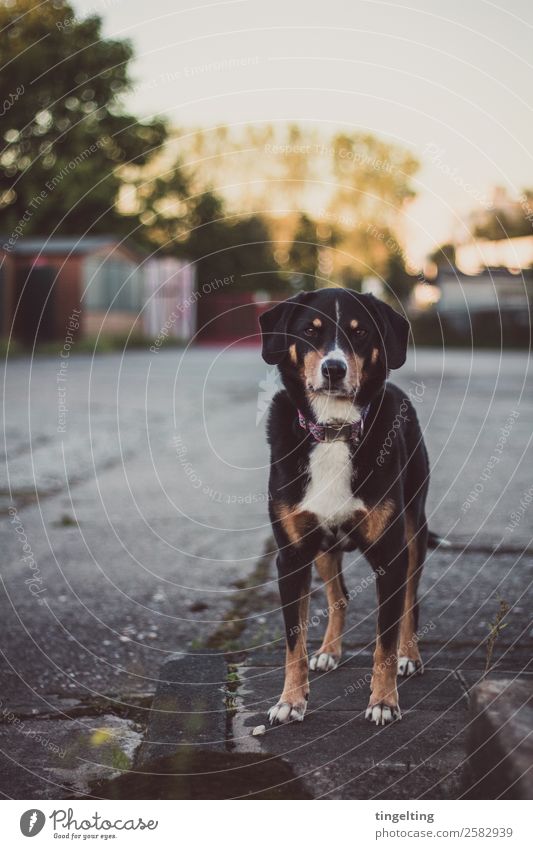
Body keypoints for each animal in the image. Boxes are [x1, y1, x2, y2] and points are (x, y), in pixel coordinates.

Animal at [260, 288, 430, 724]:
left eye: (360, 332)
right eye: (309, 330)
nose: (333, 369)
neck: (334, 432)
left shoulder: (390, 554)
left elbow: (384, 640)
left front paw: (384, 702)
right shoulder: (291, 556)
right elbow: (294, 642)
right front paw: (291, 700)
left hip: (413, 531)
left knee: (410, 600)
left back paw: (409, 655)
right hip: (323, 549)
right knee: (339, 596)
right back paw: (329, 651)